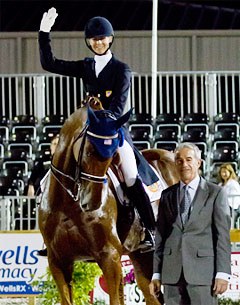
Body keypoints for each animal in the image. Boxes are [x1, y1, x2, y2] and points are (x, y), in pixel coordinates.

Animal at [38, 98, 179, 304]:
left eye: (113, 154)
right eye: (89, 151)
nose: (92, 203)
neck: (67, 202)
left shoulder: (109, 255)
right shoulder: (58, 260)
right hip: (141, 257)